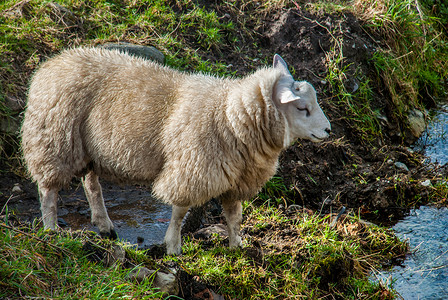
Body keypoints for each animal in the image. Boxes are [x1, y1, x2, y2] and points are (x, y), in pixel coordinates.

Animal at [21, 48, 330, 254]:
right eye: (302, 108)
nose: (328, 130)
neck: (229, 115)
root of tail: (50, 65)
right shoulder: (191, 168)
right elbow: (180, 211)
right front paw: (173, 247)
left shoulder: (235, 178)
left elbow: (234, 216)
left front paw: (236, 246)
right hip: (54, 141)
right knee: (48, 190)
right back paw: (51, 229)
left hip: (88, 148)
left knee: (91, 183)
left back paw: (104, 225)